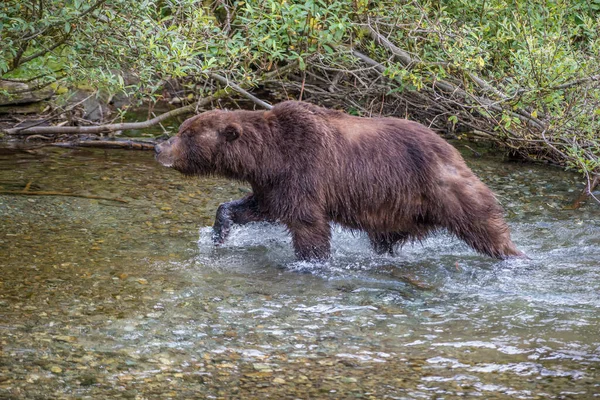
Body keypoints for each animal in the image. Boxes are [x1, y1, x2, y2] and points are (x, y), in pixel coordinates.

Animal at [156, 101, 524, 260]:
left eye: (186, 134)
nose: (158, 146)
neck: (268, 156)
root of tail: (453, 150)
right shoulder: (274, 183)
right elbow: (258, 207)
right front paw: (219, 233)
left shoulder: (305, 169)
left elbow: (308, 224)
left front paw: (310, 260)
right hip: (397, 209)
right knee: (386, 238)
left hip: (442, 186)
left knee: (483, 223)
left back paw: (514, 256)